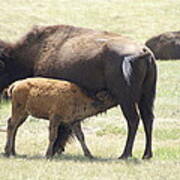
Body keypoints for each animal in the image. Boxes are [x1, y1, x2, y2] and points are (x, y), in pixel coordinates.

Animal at [0, 24, 157, 159]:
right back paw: (146, 155)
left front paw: (55, 150)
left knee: (133, 120)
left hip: (126, 100)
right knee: (148, 119)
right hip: (147, 97)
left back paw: (125, 154)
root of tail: (145, 52)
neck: (34, 53)